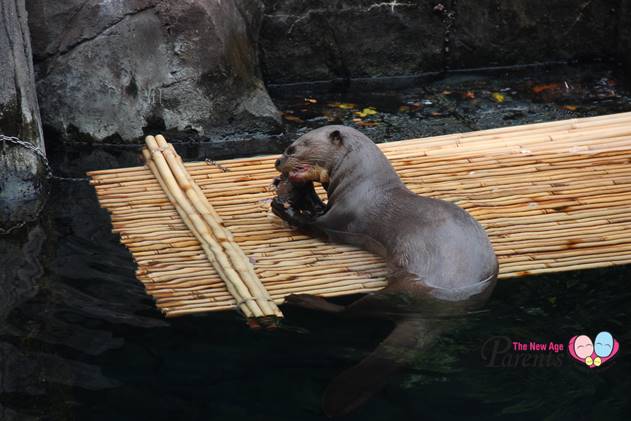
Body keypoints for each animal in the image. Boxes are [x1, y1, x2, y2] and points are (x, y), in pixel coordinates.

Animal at [272, 124, 498, 414]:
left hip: (401, 290)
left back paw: (301, 299)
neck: (363, 184)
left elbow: (316, 226)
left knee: (349, 313)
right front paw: (305, 198)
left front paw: (284, 208)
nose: (277, 162)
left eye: (293, 148)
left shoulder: (342, 218)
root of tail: (440, 312)